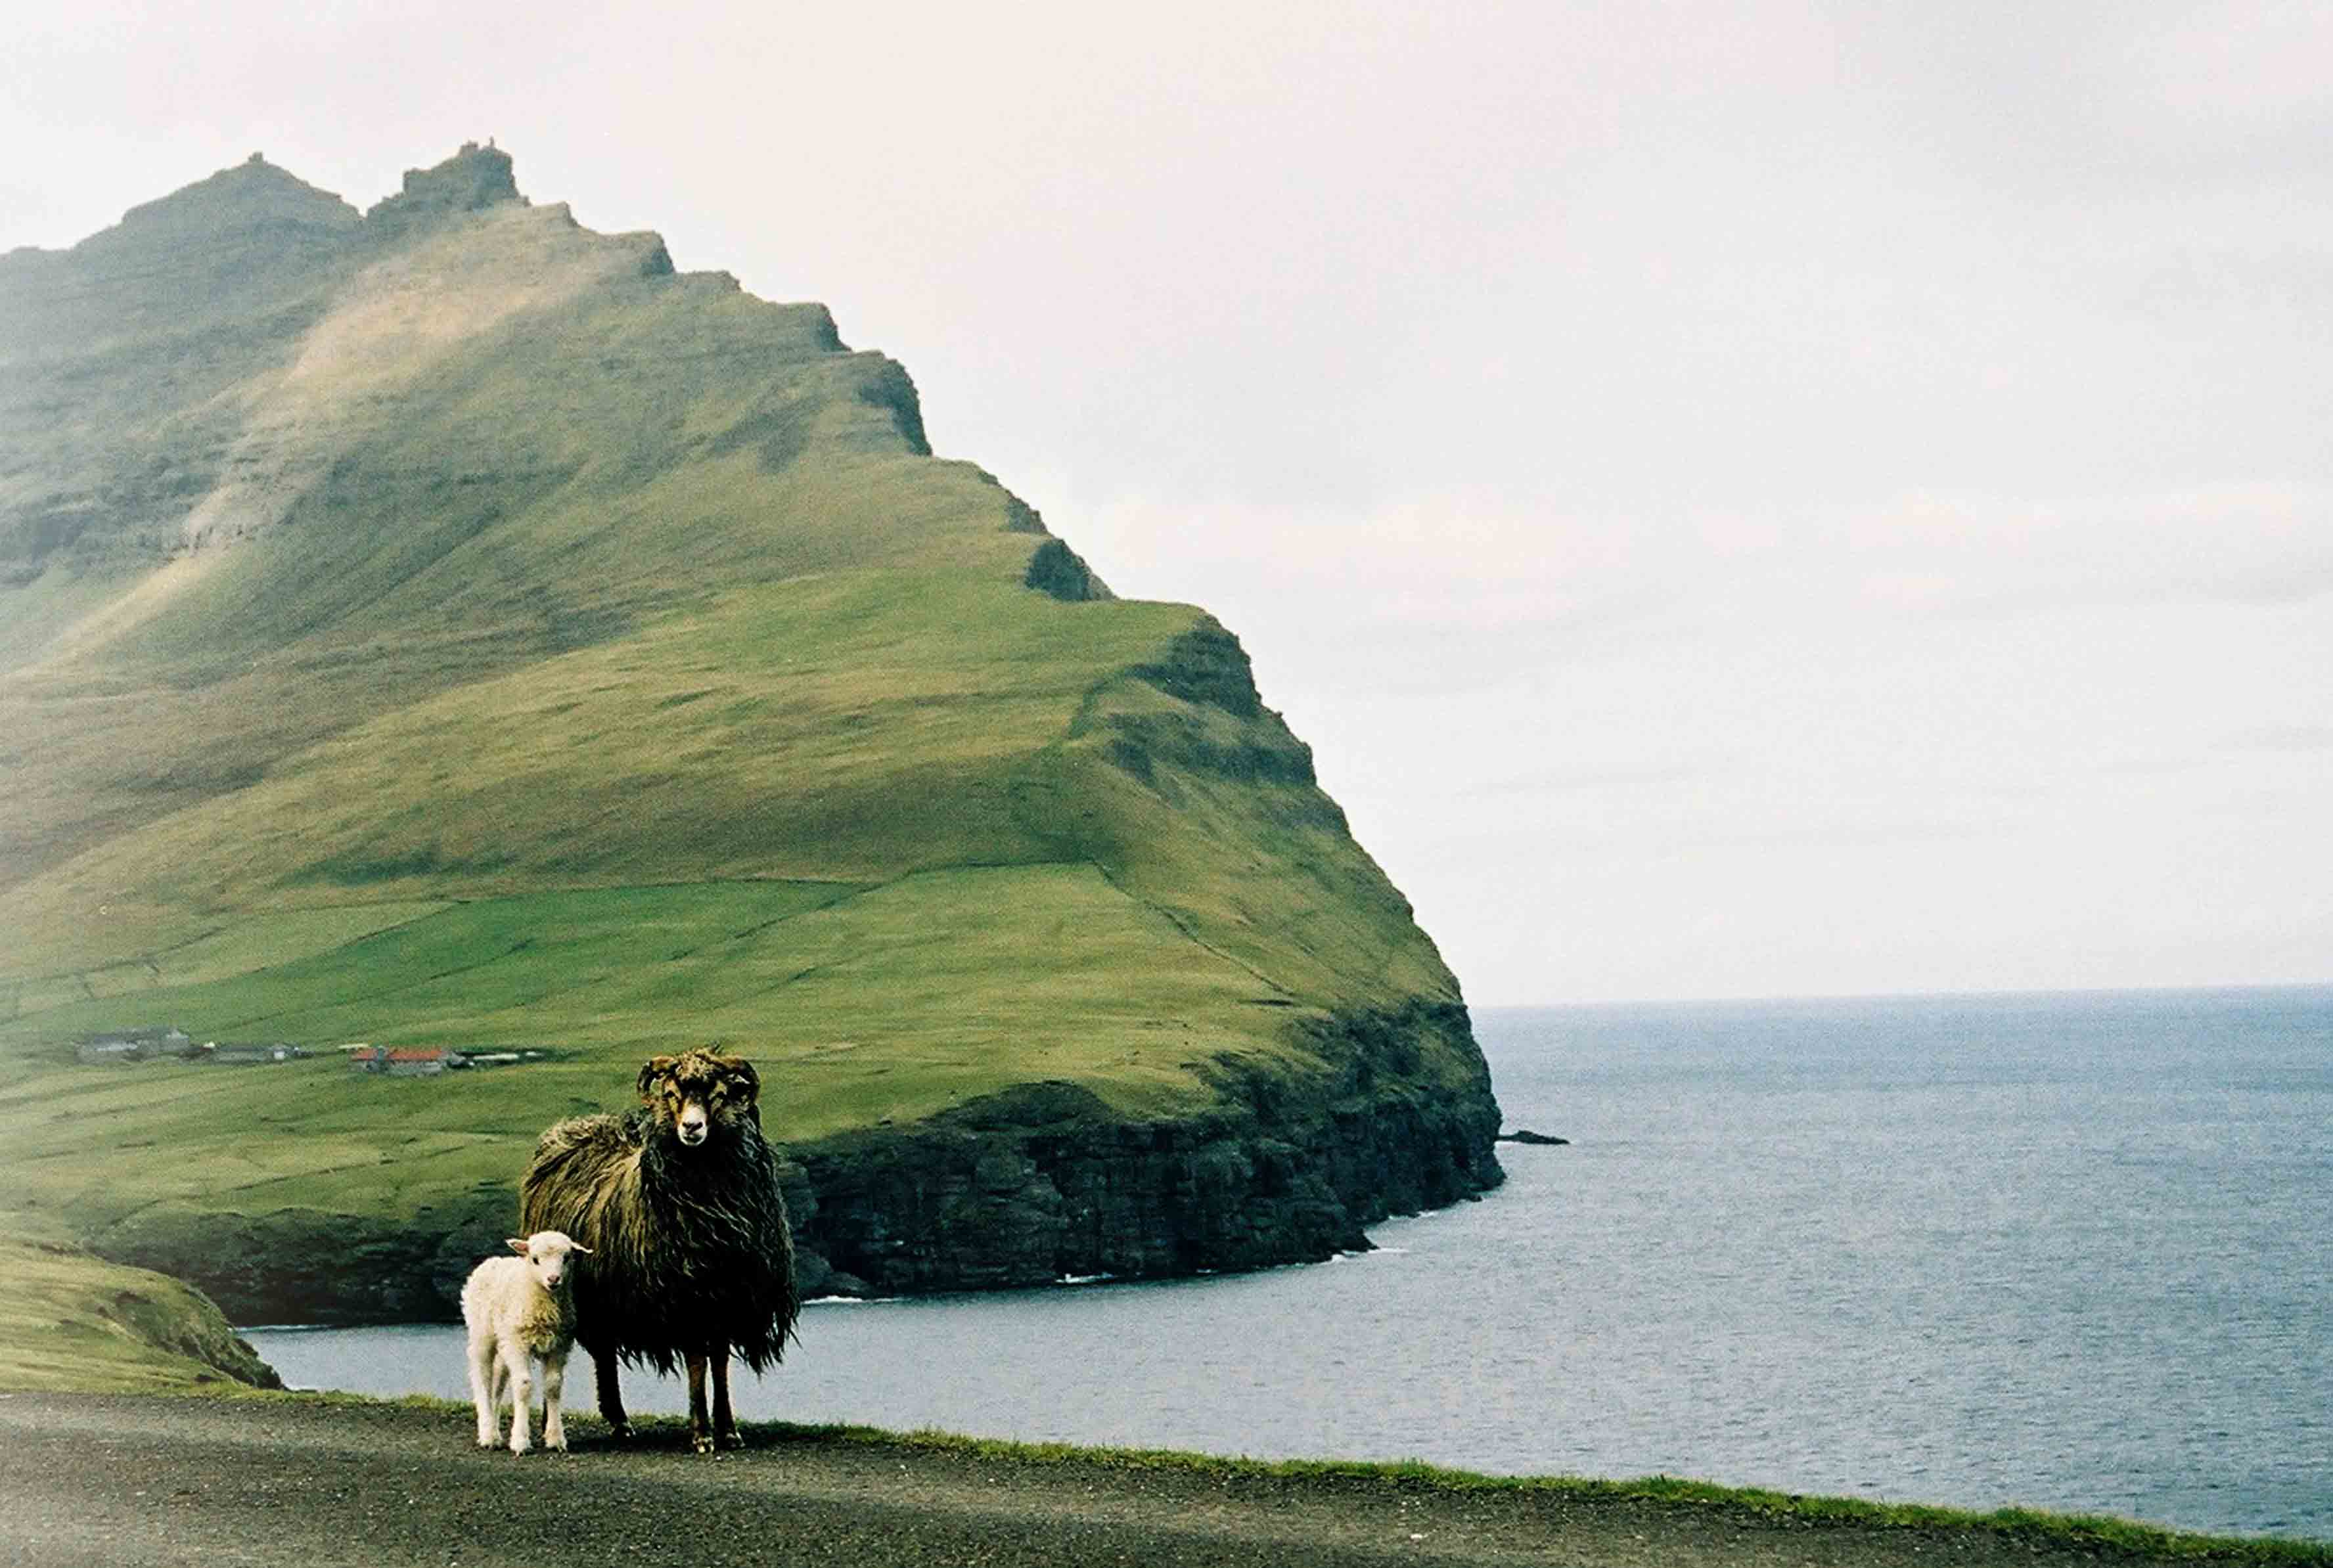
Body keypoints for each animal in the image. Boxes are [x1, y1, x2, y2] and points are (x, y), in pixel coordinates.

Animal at [455, 1232, 583, 1456]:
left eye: (567, 1258)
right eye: (535, 1259)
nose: (553, 1279)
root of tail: (493, 1261)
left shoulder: (559, 1345)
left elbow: (554, 1385)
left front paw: (556, 1439)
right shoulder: (518, 1344)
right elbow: (523, 1385)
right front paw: (521, 1441)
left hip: (504, 1342)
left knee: (497, 1384)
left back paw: (496, 1434)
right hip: (482, 1335)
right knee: (482, 1378)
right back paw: (487, 1434)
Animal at [515, 1045, 798, 1456]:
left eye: (719, 1095)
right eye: (671, 1094)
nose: (692, 1128)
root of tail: (566, 1131)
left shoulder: (728, 1297)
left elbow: (720, 1364)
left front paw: (729, 1430)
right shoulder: (687, 1296)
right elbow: (697, 1362)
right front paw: (702, 1434)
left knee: (604, 1354)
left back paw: (620, 1424)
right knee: (596, 1355)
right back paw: (589, 1421)